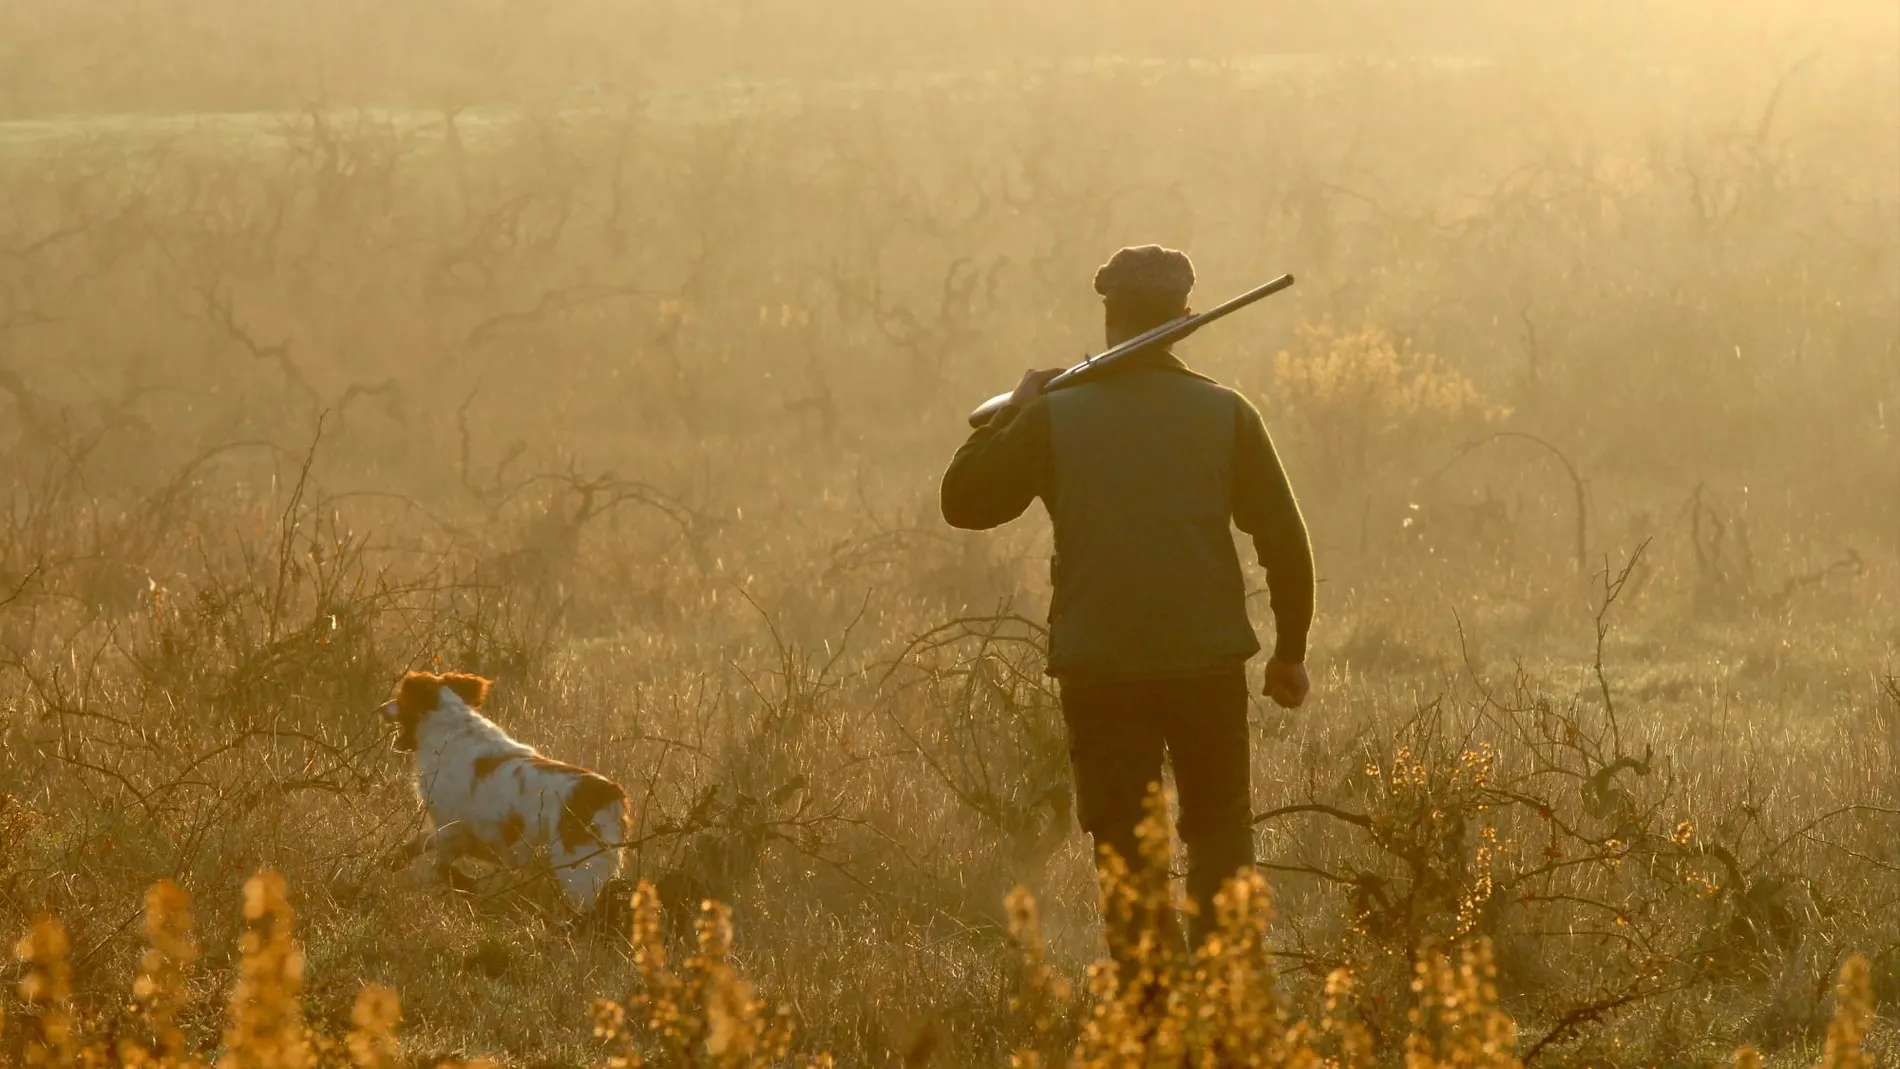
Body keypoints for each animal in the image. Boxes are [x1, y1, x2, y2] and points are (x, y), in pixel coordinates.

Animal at [380, 672, 630, 915]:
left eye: (400, 698)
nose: (382, 706)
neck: (450, 727)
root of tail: (610, 793)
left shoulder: (452, 829)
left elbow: (441, 866)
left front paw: (466, 885)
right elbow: (420, 844)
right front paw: (393, 861)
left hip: (579, 873)